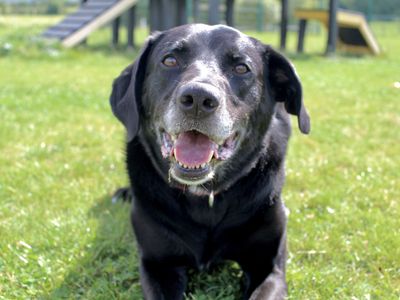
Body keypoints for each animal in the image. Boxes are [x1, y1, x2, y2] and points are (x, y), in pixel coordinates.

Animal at [111, 24, 310, 300]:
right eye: (169, 60)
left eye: (242, 68)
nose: (198, 98)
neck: (205, 198)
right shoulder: (157, 264)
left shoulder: (269, 268)